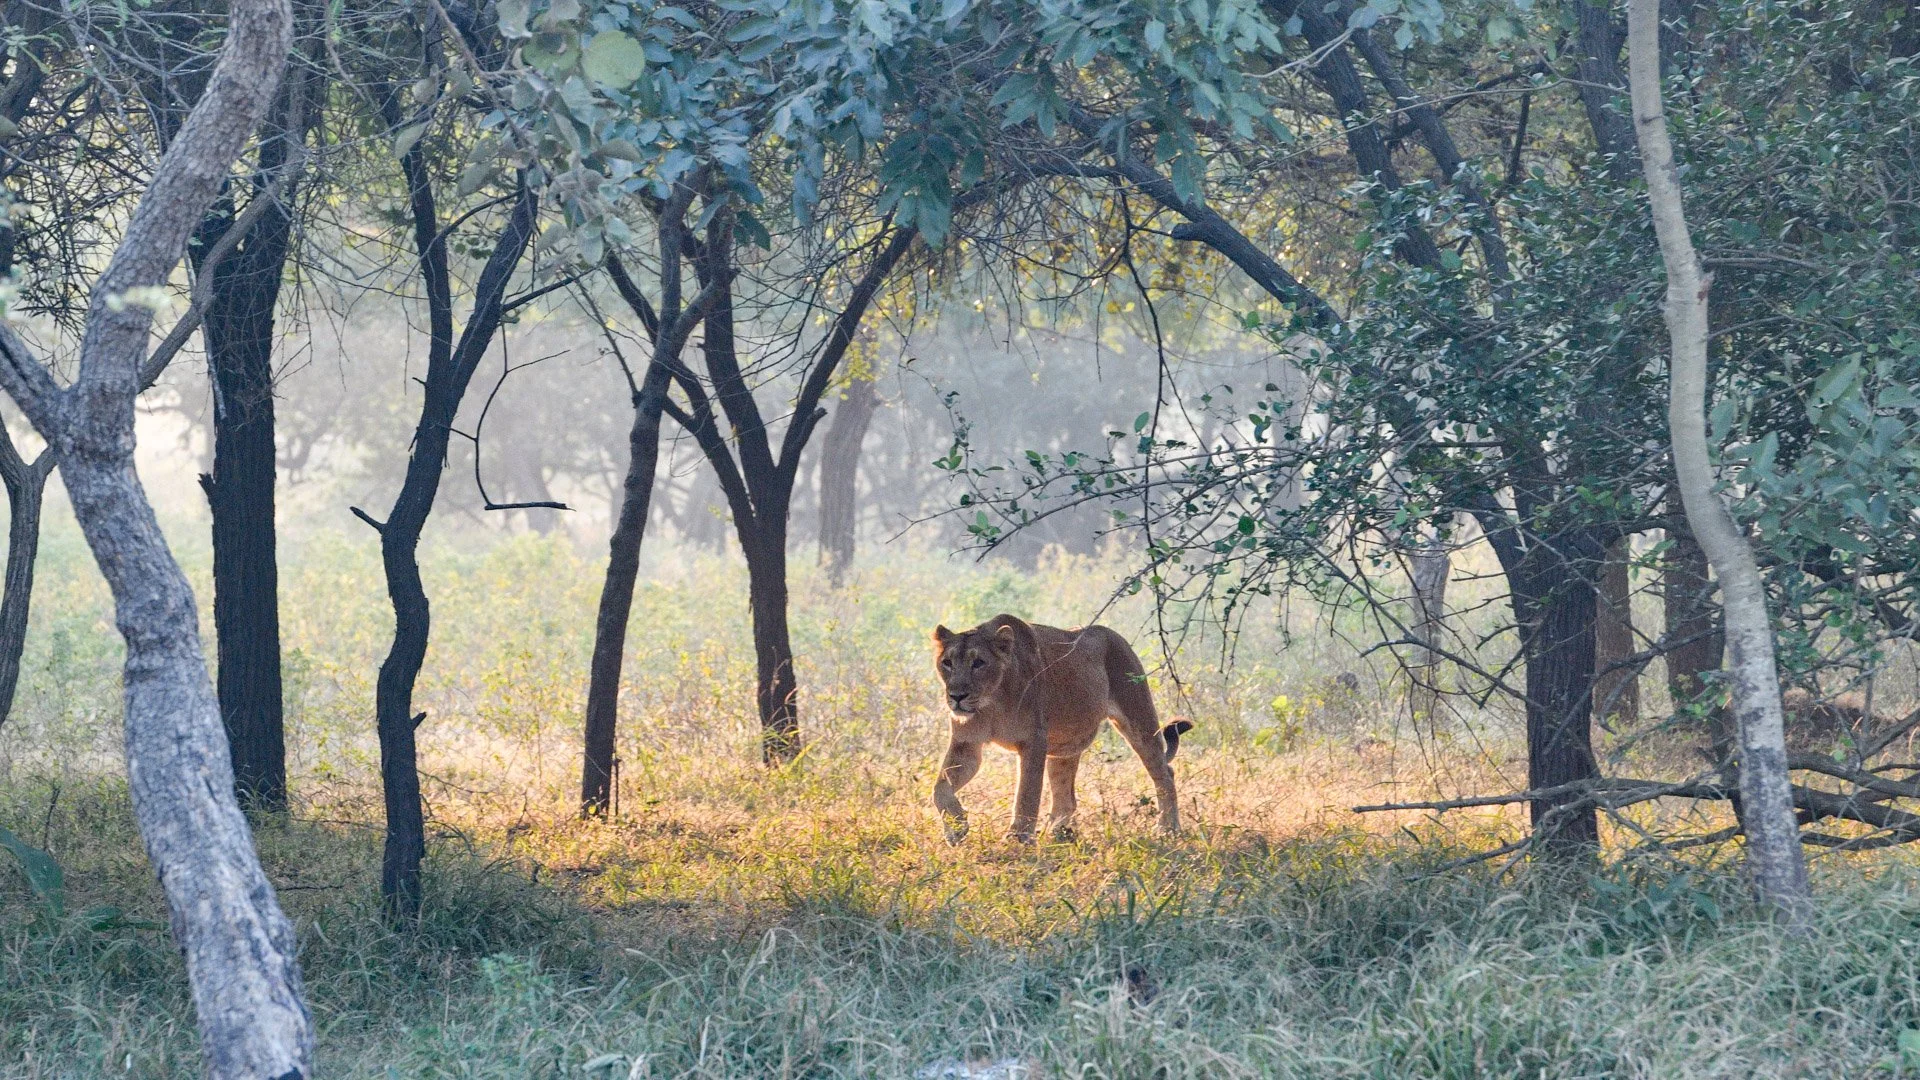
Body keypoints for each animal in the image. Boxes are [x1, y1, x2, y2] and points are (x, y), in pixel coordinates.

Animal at [930, 613, 1192, 843]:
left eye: (979, 663)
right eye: (947, 663)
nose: (957, 696)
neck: (990, 701)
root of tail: (1116, 636)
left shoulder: (1034, 741)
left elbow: (1027, 793)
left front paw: (1018, 837)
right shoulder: (966, 744)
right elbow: (940, 788)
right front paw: (956, 829)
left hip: (1139, 720)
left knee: (1164, 772)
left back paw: (1168, 829)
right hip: (1064, 749)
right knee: (1066, 798)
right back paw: (1057, 836)